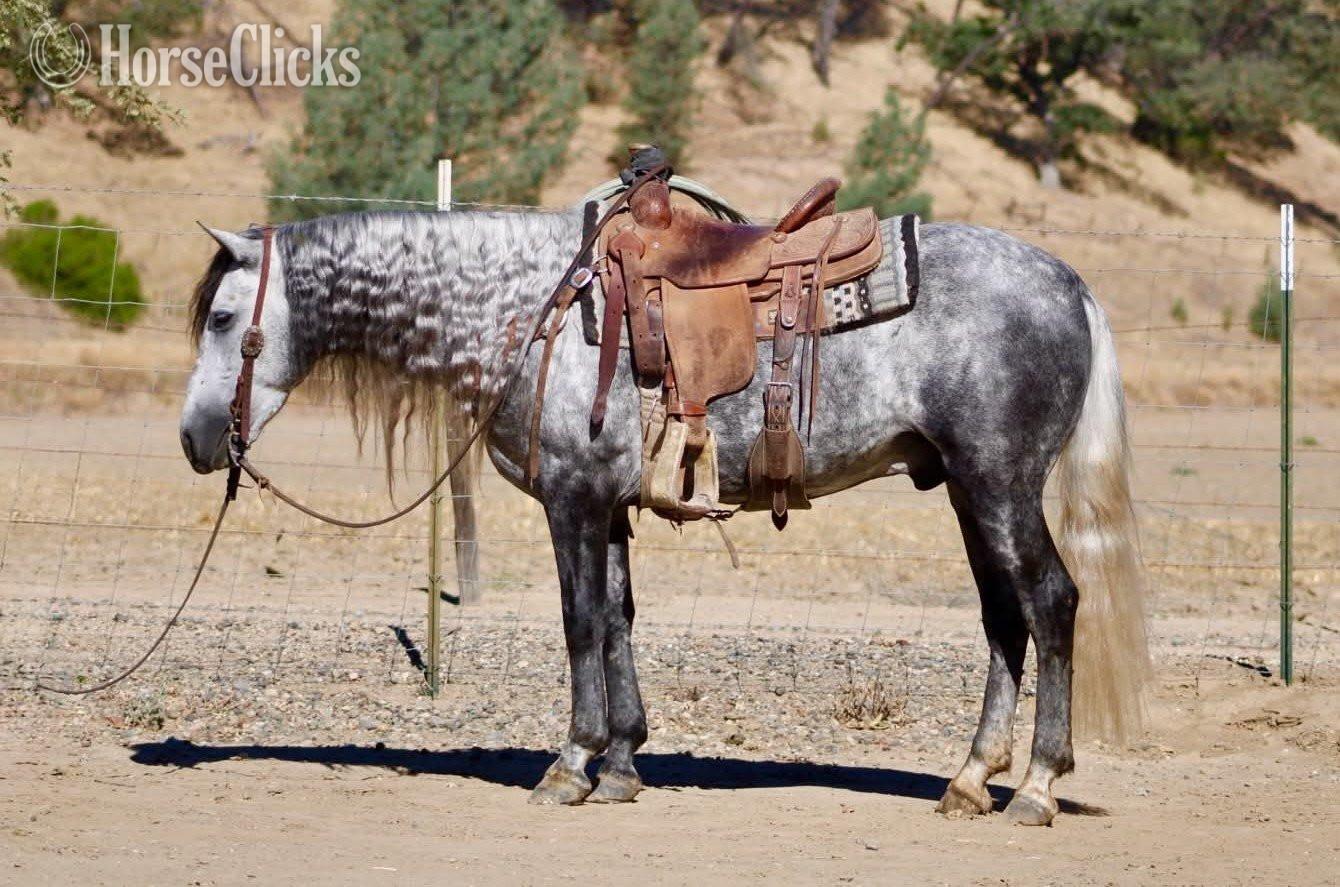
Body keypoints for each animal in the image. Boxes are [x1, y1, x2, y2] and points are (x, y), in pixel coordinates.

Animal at [179, 201, 1148, 826]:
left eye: (224, 317)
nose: (193, 437)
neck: (528, 307)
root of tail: (1071, 284)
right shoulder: (608, 506)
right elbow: (617, 618)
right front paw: (620, 762)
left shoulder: (572, 499)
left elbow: (578, 620)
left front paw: (570, 763)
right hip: (966, 489)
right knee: (1003, 618)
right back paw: (970, 778)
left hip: (998, 482)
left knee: (1052, 602)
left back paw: (1036, 786)